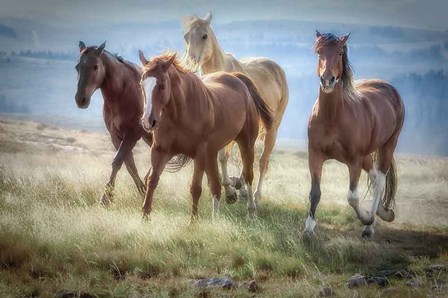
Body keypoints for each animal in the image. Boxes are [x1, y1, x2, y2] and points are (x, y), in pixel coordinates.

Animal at [73, 41, 150, 203]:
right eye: (77, 67)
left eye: (95, 66)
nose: (80, 99)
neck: (124, 92)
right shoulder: (116, 135)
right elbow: (129, 165)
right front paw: (142, 191)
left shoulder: (132, 134)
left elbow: (117, 162)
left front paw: (105, 198)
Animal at [138, 51, 272, 220]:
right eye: (141, 85)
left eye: (162, 85)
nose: (148, 121)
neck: (180, 114)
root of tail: (237, 80)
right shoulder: (160, 151)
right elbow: (152, 180)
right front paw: (145, 217)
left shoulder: (200, 154)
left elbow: (195, 188)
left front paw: (193, 221)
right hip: (212, 153)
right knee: (216, 185)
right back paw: (217, 214)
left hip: (246, 144)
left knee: (248, 176)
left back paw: (251, 211)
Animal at [183, 12, 290, 207]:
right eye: (186, 36)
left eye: (204, 36)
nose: (191, 62)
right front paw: (227, 188)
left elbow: (222, 157)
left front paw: (229, 191)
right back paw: (241, 186)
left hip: (272, 129)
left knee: (262, 161)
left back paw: (255, 195)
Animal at [306, 32, 404, 237]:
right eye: (319, 52)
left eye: (340, 52)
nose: (327, 80)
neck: (332, 117)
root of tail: (387, 87)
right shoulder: (315, 155)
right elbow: (315, 193)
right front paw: (308, 229)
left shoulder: (354, 161)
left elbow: (352, 197)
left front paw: (366, 218)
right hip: (366, 155)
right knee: (374, 178)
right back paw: (384, 213)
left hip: (388, 146)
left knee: (379, 180)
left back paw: (369, 226)